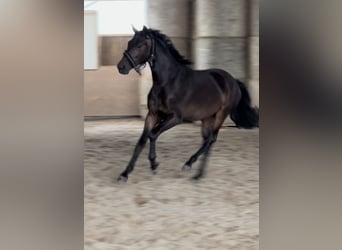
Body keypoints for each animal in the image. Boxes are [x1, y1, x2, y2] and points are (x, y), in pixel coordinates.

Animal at [116, 26, 258, 181]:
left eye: (140, 45)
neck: (167, 82)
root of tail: (234, 81)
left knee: (211, 139)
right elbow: (141, 141)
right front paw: (125, 173)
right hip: (207, 118)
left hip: (221, 114)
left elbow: (152, 135)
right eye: (129, 43)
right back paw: (197, 172)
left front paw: (154, 164)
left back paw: (190, 167)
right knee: (207, 140)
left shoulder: (176, 118)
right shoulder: (152, 115)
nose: (121, 67)